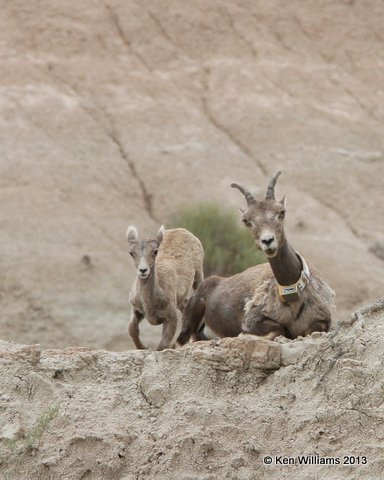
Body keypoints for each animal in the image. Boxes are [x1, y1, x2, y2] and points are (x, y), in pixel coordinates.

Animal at [177, 171, 332, 344]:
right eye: (246, 221)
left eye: (281, 213)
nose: (268, 241)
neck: (292, 293)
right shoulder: (252, 319)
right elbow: (278, 329)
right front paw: (243, 335)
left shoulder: (322, 321)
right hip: (190, 318)